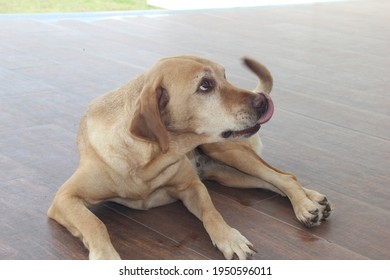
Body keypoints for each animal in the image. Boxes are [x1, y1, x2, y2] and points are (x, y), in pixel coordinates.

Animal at [47, 55, 330, 260]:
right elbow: (95, 224)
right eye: (205, 85)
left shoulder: (192, 186)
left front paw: (229, 238)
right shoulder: (65, 199)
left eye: (225, 76)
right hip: (227, 174)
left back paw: (305, 206)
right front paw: (106, 258)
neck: (147, 160)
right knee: (272, 181)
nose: (262, 101)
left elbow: (212, 213)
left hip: (227, 151)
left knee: (284, 177)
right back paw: (313, 200)